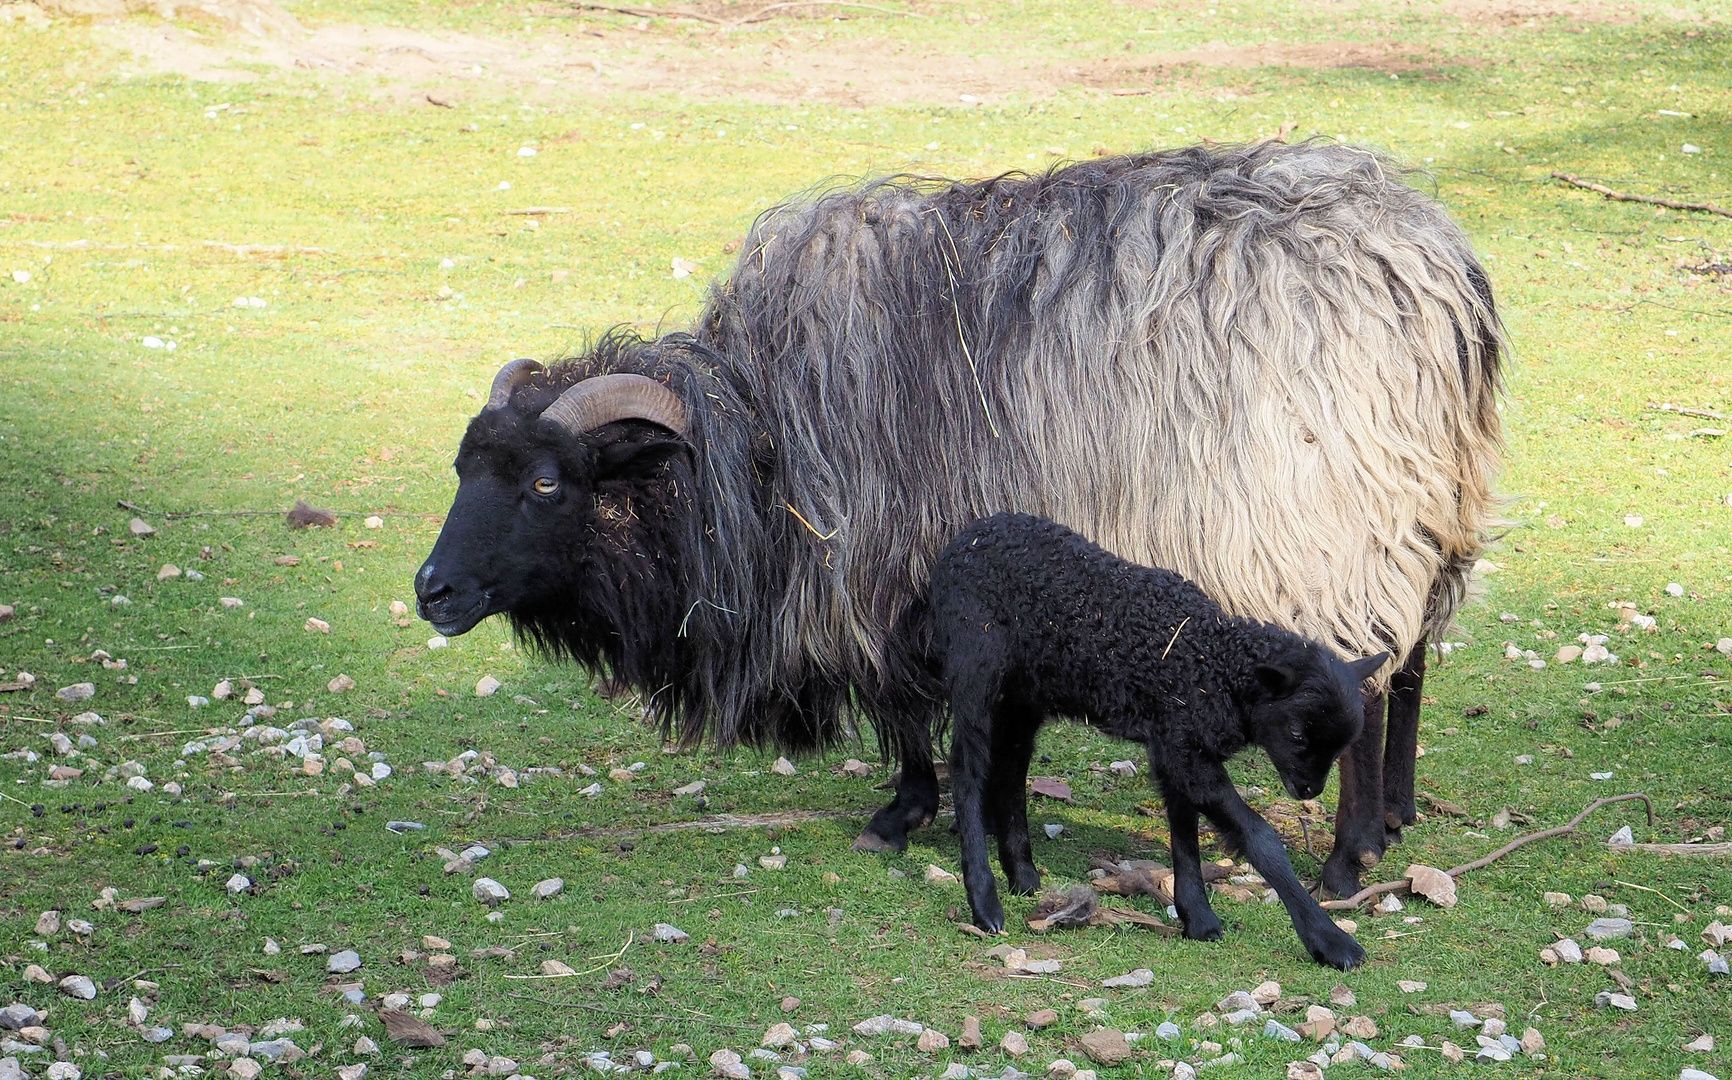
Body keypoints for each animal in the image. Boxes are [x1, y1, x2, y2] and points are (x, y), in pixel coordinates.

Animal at [415, 136, 1503, 893]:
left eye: (547, 482)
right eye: (466, 466)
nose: (431, 591)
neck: (757, 441)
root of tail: (1441, 267)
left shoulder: (887, 566)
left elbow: (902, 703)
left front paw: (903, 812)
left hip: (1332, 521)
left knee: (1366, 677)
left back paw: (1349, 858)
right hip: (1420, 502)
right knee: (1409, 662)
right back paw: (1398, 816)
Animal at [928, 515, 1385, 969]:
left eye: (1340, 745)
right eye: (1296, 733)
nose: (1309, 790)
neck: (1215, 665)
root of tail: (970, 535)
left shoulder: (1177, 742)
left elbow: (1183, 828)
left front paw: (1197, 917)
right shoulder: (1185, 748)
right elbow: (1259, 836)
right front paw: (1331, 941)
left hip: (1024, 694)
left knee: (1010, 766)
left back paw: (1022, 876)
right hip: (976, 662)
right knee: (967, 767)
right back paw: (984, 903)